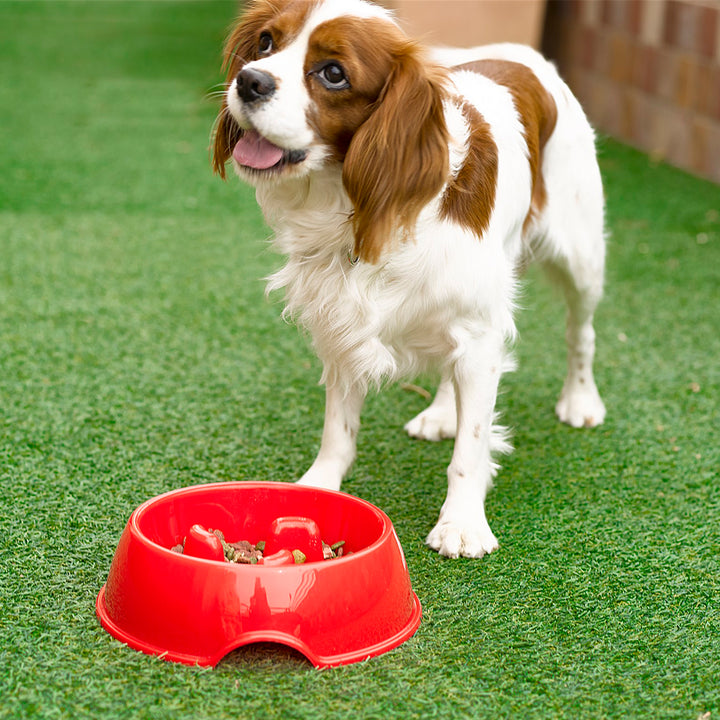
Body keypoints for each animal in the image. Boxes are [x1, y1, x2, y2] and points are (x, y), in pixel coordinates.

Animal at [211, 0, 604, 556]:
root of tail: (526, 56)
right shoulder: (343, 323)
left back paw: (580, 400)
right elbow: (338, 431)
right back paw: (441, 413)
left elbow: (471, 448)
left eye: (334, 73)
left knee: (580, 332)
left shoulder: (482, 336)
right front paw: (318, 489)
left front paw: (462, 524)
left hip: (583, 257)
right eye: (266, 42)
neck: (360, 206)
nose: (248, 81)